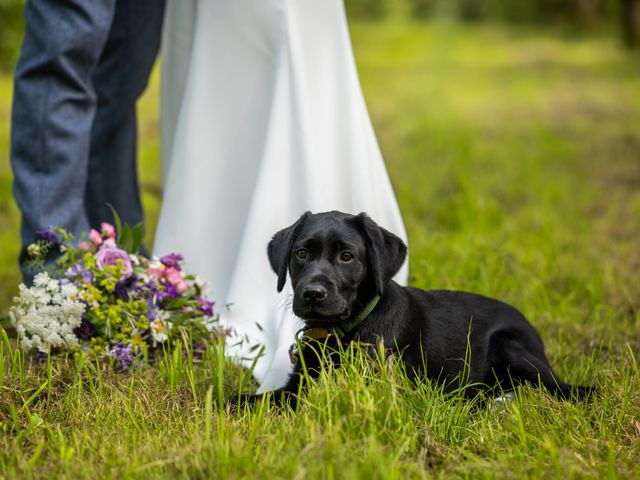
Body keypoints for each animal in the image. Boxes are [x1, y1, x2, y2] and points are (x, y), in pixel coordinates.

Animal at [231, 212, 596, 406]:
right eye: (301, 254)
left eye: (346, 256)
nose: (312, 293)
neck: (343, 332)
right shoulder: (297, 385)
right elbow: (249, 401)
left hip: (512, 345)